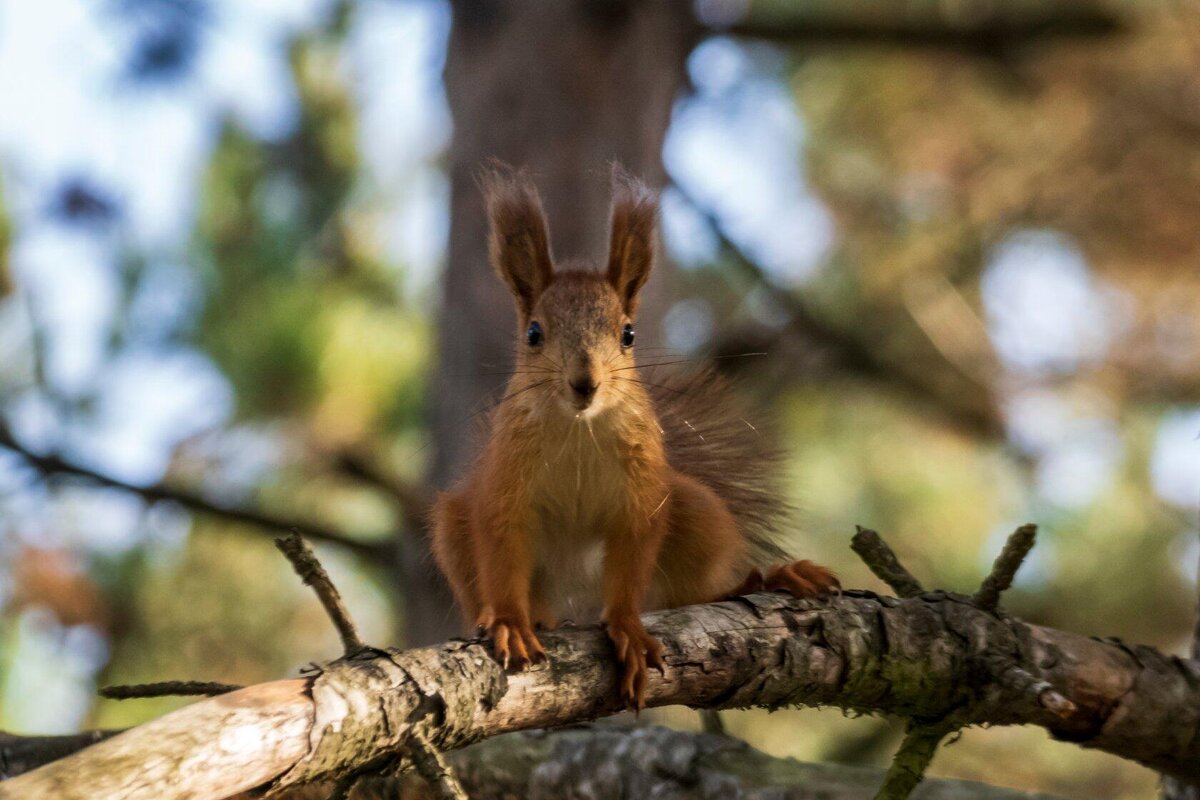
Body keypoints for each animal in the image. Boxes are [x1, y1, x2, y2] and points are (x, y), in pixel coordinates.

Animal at [432, 165, 835, 710]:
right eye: (533, 333)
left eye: (628, 334)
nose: (585, 382)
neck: (580, 428)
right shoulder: (503, 485)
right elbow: (501, 545)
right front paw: (512, 623)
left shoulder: (643, 493)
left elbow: (633, 560)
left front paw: (626, 628)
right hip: (454, 526)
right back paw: (525, 618)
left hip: (698, 511)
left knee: (688, 594)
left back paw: (763, 580)